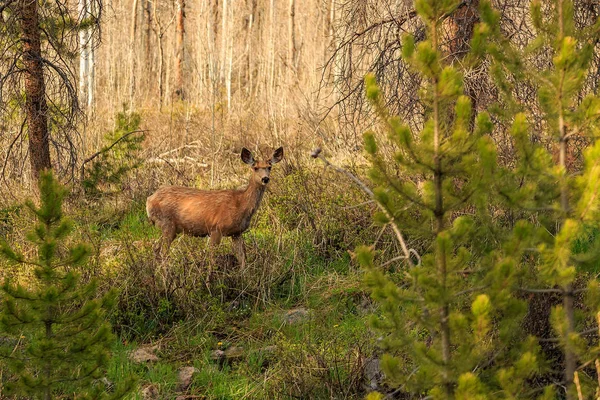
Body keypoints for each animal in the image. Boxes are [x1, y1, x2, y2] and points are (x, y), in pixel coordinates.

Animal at [146, 147, 284, 278]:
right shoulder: (216, 228)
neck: (240, 204)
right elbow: (212, 259)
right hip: (167, 223)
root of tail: (149, 200)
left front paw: (245, 279)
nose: (265, 178)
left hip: (171, 228)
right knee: (162, 252)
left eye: (269, 167)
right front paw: (209, 282)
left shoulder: (236, 233)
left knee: (156, 248)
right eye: (255, 168)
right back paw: (167, 279)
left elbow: (242, 258)